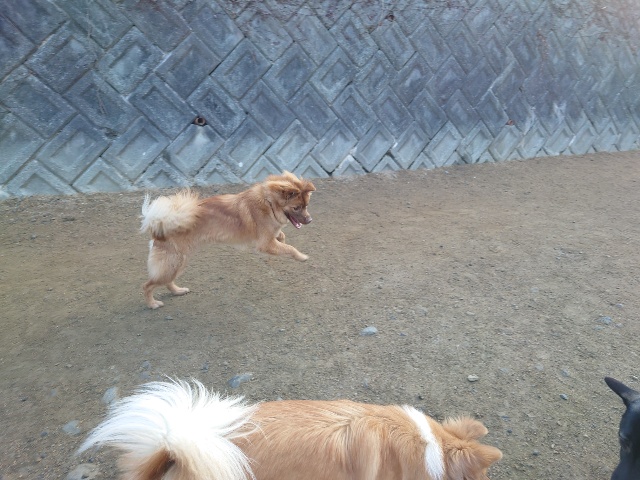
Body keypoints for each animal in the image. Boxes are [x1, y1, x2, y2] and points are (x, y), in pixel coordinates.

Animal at [140, 172, 315, 309]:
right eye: (296, 208)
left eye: (307, 205)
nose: (310, 220)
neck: (268, 202)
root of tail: (159, 227)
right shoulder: (265, 244)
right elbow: (290, 248)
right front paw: (301, 257)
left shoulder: (270, 238)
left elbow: (282, 237)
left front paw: (282, 238)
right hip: (173, 263)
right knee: (147, 286)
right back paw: (152, 304)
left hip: (179, 262)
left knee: (167, 281)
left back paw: (178, 291)